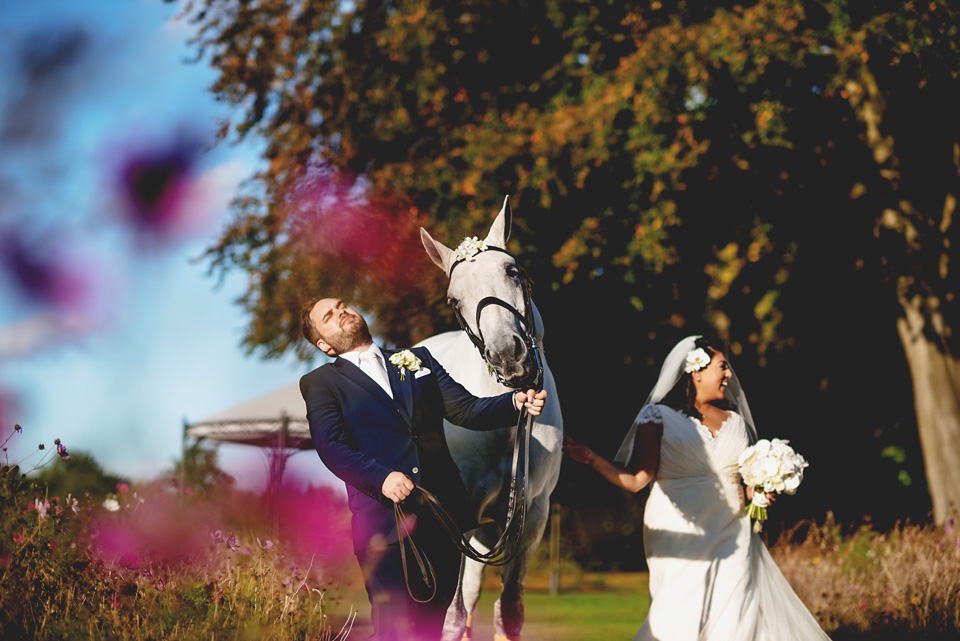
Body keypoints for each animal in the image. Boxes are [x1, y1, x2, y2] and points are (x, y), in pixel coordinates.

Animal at [418, 198, 564, 640]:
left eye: (512, 271)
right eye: (453, 300)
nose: (509, 357)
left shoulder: (532, 516)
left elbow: (508, 609)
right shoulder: (456, 516)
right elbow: (451, 615)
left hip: (485, 532)